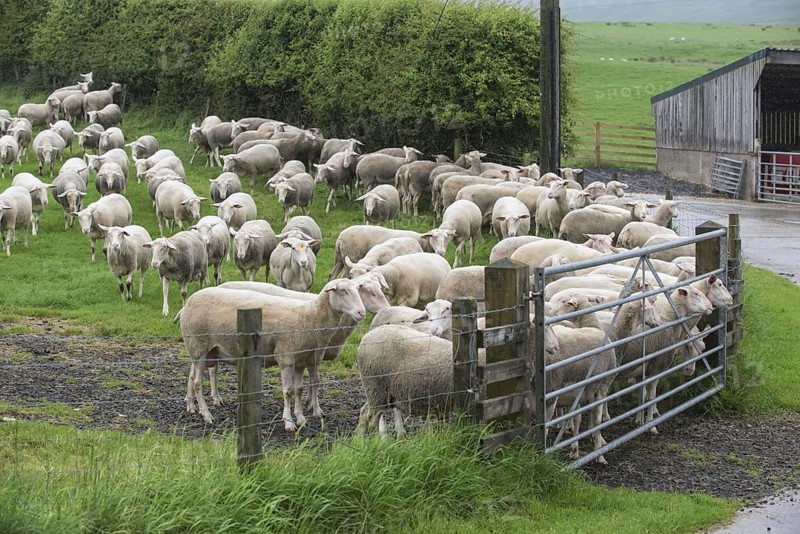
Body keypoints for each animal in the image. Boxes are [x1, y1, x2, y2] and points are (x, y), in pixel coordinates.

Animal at [179, 279, 365, 427]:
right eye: (343, 291)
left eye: (358, 290)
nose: (362, 312)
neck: (310, 316)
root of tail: (189, 301)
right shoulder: (286, 358)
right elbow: (288, 392)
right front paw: (289, 422)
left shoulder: (301, 361)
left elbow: (299, 390)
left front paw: (301, 418)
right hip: (198, 347)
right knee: (197, 382)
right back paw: (206, 414)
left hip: (208, 351)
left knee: (193, 376)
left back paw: (194, 407)